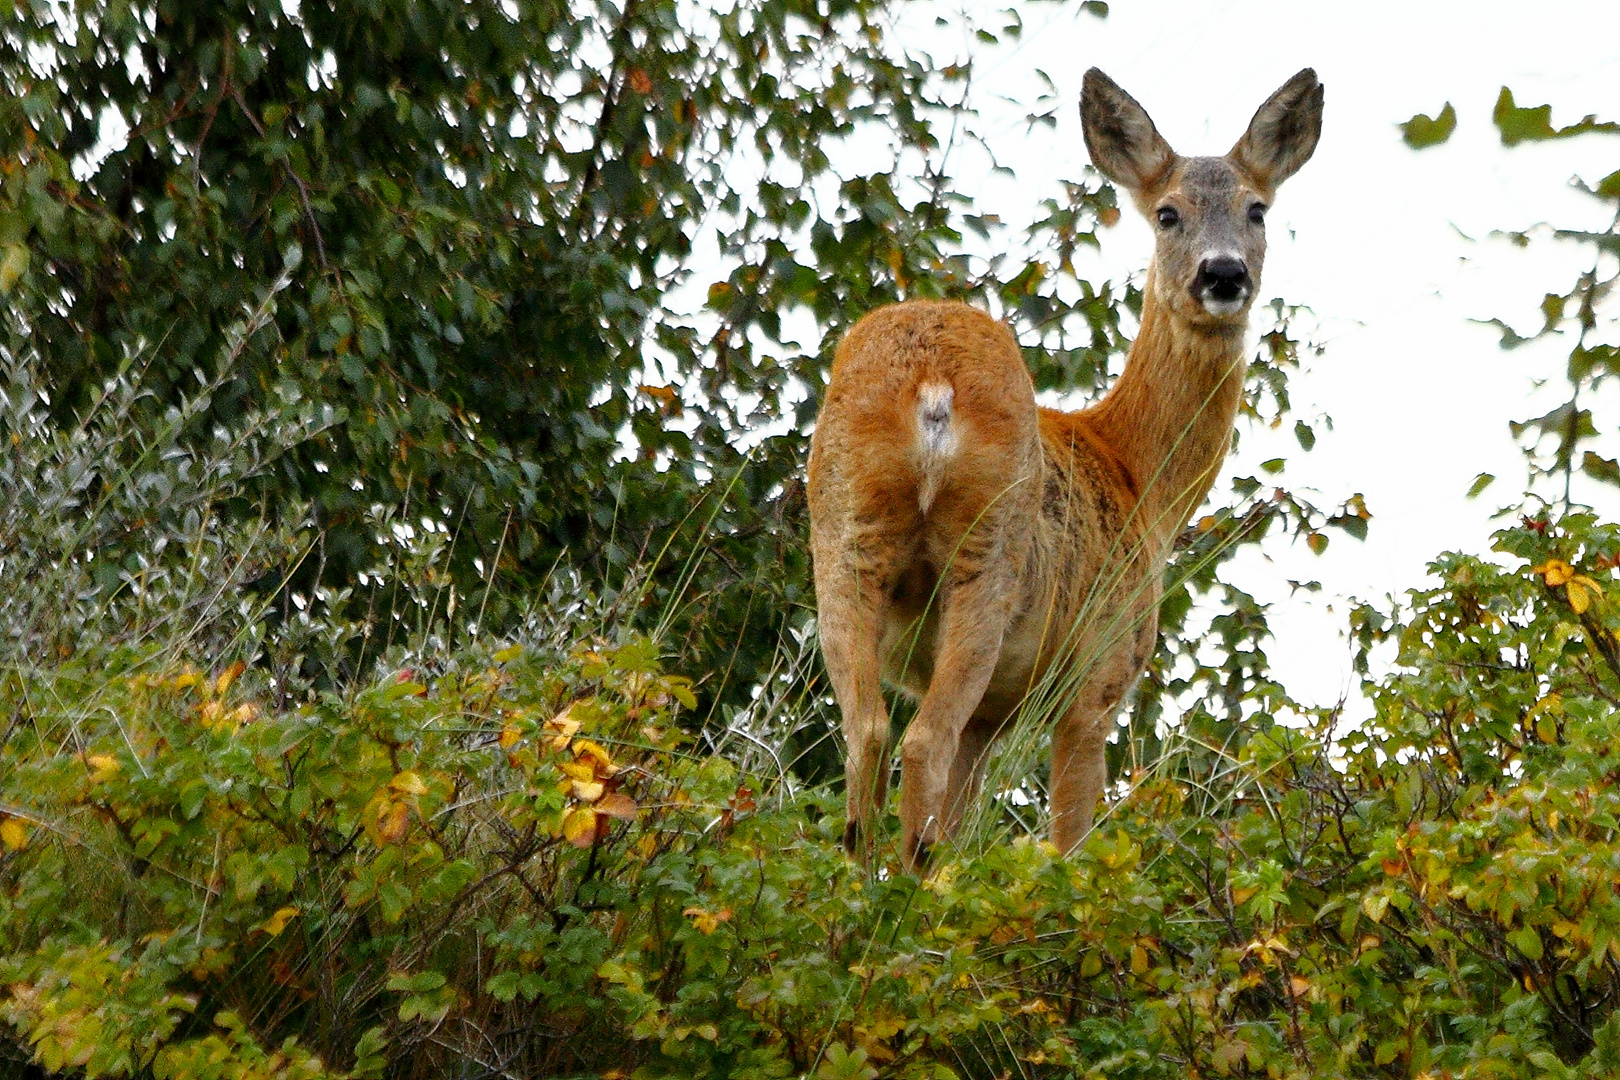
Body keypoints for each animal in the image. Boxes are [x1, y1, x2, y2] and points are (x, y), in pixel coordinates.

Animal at [816, 67, 1321, 867]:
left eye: (1257, 209)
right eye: (1168, 213)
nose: (1223, 274)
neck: (1139, 477)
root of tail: (930, 383)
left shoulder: (995, 715)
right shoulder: (1100, 676)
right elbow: (1072, 842)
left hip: (844, 539)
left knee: (867, 731)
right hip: (986, 554)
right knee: (921, 740)